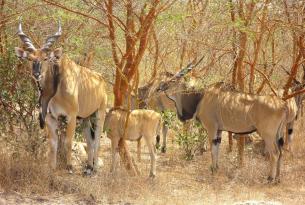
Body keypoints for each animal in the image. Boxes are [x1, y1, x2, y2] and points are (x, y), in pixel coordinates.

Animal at [14, 18, 107, 175]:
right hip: (85, 119)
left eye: (46, 58)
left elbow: (68, 142)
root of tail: (101, 80)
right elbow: (53, 144)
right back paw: (88, 169)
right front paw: (52, 168)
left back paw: (94, 170)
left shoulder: (71, 116)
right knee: (89, 141)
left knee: (97, 141)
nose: (36, 74)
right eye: (30, 59)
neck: (55, 90)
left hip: (99, 114)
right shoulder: (50, 118)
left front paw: (69, 167)